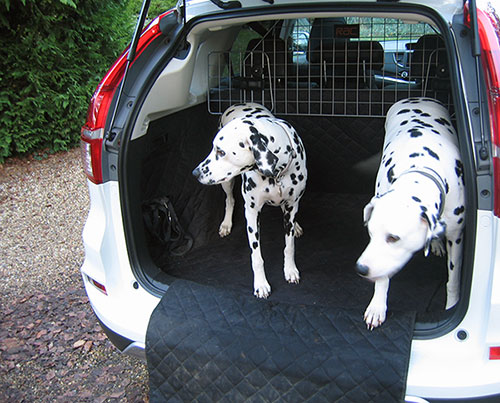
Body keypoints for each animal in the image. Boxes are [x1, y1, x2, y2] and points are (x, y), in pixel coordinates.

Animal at [192, 103, 306, 300]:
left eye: (221, 151)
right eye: (214, 148)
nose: (196, 173)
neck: (276, 173)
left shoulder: (291, 207)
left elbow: (289, 245)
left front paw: (290, 270)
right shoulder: (252, 213)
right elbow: (256, 257)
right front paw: (261, 284)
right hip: (227, 182)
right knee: (229, 200)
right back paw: (226, 223)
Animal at [356, 96, 464, 330]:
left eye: (394, 238)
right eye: (370, 234)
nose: (361, 268)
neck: (423, 166)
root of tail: (418, 97)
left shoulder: (457, 237)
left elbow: (454, 279)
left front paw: (453, 304)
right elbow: (383, 277)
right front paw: (377, 306)